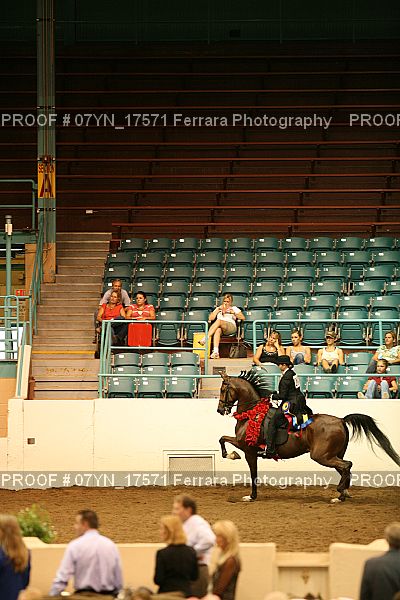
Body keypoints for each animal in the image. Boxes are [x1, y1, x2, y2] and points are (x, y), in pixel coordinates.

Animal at [217, 370, 400, 503]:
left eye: (223, 389)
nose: (220, 410)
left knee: (347, 465)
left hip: (321, 456)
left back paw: (340, 492)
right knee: (345, 469)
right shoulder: (247, 449)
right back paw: (342, 494)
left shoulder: (247, 449)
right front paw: (232, 456)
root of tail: (341, 420)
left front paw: (250, 494)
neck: (252, 413)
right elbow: (222, 438)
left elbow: (250, 471)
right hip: (333, 455)